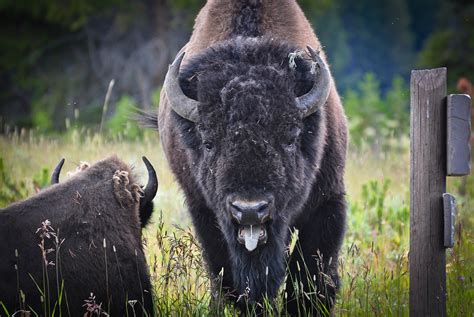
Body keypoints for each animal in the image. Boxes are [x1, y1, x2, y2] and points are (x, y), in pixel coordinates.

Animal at [159, 0, 348, 314]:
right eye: (208, 142)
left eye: (290, 137)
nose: (249, 210)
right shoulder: (205, 211)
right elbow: (226, 271)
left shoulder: (327, 202)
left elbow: (310, 271)